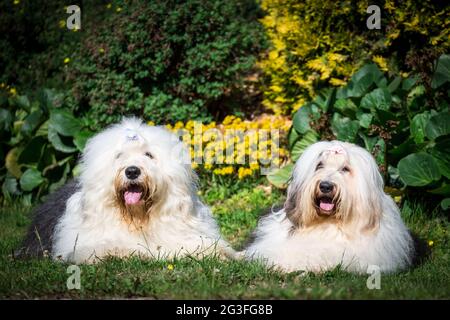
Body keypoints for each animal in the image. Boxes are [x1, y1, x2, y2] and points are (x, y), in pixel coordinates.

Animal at [20, 117, 236, 262]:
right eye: (119, 155)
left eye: (148, 154)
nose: (132, 171)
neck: (137, 217)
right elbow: (108, 247)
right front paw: (129, 252)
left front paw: (221, 253)